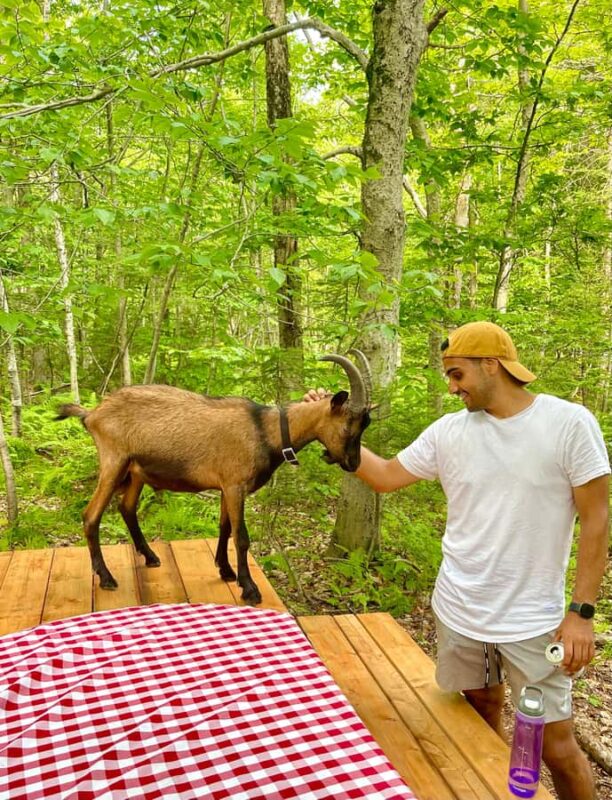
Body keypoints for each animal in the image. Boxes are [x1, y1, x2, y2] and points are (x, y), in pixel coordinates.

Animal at [56, 352, 372, 604]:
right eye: (349, 425)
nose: (353, 463)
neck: (265, 430)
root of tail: (92, 414)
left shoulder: (225, 486)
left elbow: (224, 527)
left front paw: (227, 571)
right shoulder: (235, 485)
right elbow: (241, 536)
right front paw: (250, 588)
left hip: (136, 472)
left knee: (127, 507)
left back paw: (150, 556)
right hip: (114, 463)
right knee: (91, 515)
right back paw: (106, 577)